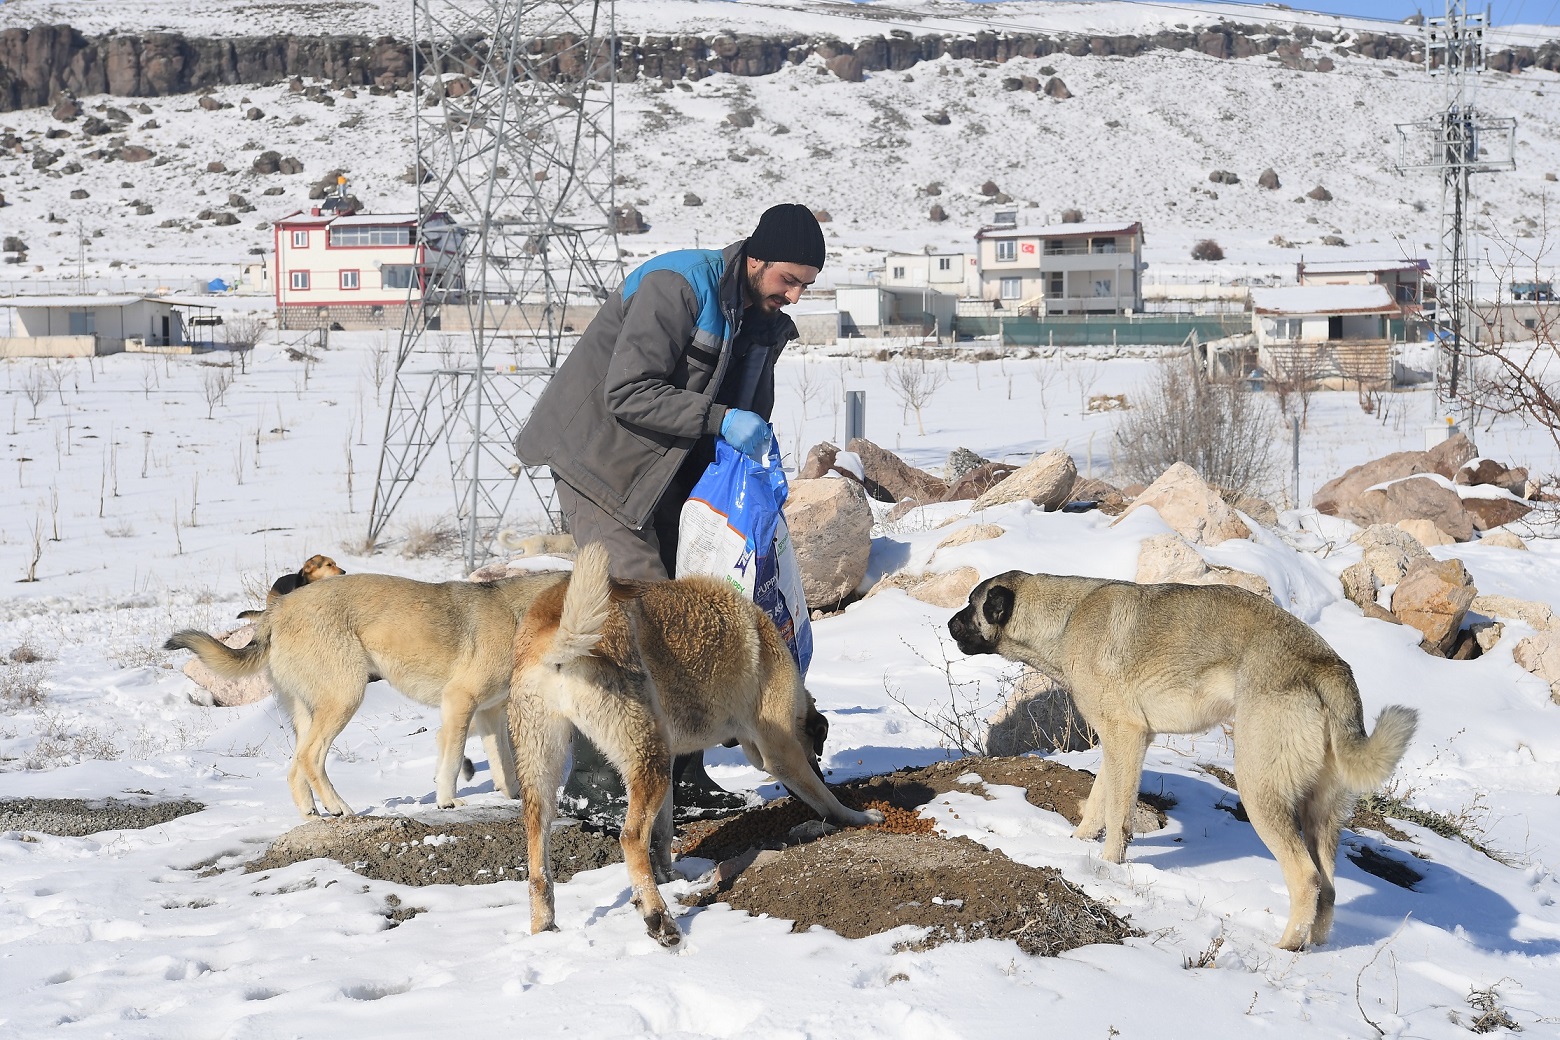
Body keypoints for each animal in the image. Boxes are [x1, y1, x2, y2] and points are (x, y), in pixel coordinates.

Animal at [167, 573, 567, 817]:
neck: (519, 616)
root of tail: (275, 611)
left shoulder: (488, 712)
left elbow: (504, 765)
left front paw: (514, 797)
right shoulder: (460, 702)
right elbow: (453, 761)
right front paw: (447, 801)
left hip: (309, 711)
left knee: (296, 767)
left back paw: (313, 814)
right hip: (346, 697)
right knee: (311, 758)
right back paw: (339, 807)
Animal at [508, 545, 879, 954]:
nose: (817, 765)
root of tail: (557, 630)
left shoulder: (668, 764)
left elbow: (663, 832)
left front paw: (671, 875)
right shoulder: (779, 750)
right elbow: (826, 799)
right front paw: (857, 816)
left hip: (548, 769)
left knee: (538, 856)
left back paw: (545, 926)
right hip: (645, 757)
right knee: (630, 838)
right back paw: (659, 918)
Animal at [942, 570, 1422, 954]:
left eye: (971, 604)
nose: (948, 623)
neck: (1065, 619)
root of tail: (1327, 665)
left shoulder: (1126, 734)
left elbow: (1116, 811)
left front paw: (1109, 866)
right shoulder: (1121, 740)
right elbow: (1099, 799)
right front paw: (1079, 844)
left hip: (1259, 789)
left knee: (1305, 877)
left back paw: (1285, 948)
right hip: (1321, 812)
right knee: (1329, 888)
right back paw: (1316, 946)